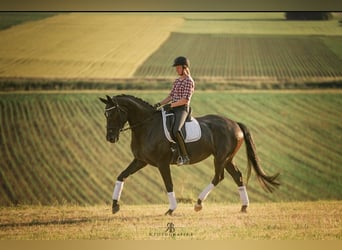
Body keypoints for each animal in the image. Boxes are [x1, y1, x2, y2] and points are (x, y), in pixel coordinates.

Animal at [99, 94, 280, 215]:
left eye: (113, 113)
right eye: (105, 114)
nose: (110, 138)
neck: (147, 126)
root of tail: (235, 123)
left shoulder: (162, 164)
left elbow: (168, 185)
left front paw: (171, 209)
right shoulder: (140, 160)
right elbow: (121, 176)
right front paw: (115, 205)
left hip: (221, 158)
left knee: (218, 177)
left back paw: (199, 203)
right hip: (228, 159)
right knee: (238, 176)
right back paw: (244, 207)